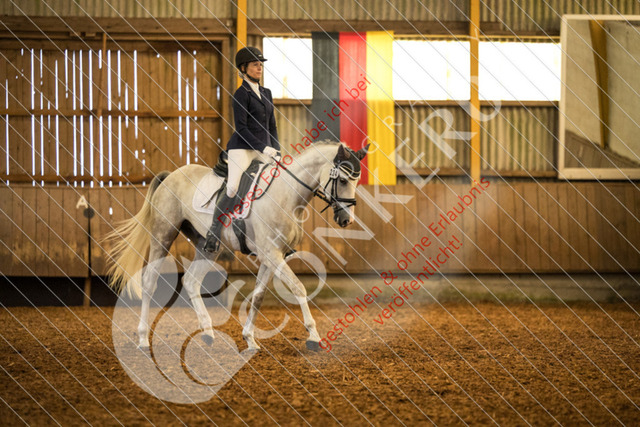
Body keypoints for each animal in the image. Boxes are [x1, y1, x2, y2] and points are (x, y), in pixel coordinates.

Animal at [106, 141, 369, 351]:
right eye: (342, 180)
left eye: (356, 181)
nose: (346, 220)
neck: (285, 195)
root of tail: (171, 175)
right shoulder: (272, 254)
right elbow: (298, 288)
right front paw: (313, 337)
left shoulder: (272, 256)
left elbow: (258, 296)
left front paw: (250, 339)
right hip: (163, 235)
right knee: (150, 281)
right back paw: (142, 339)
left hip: (207, 246)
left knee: (191, 281)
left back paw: (208, 333)